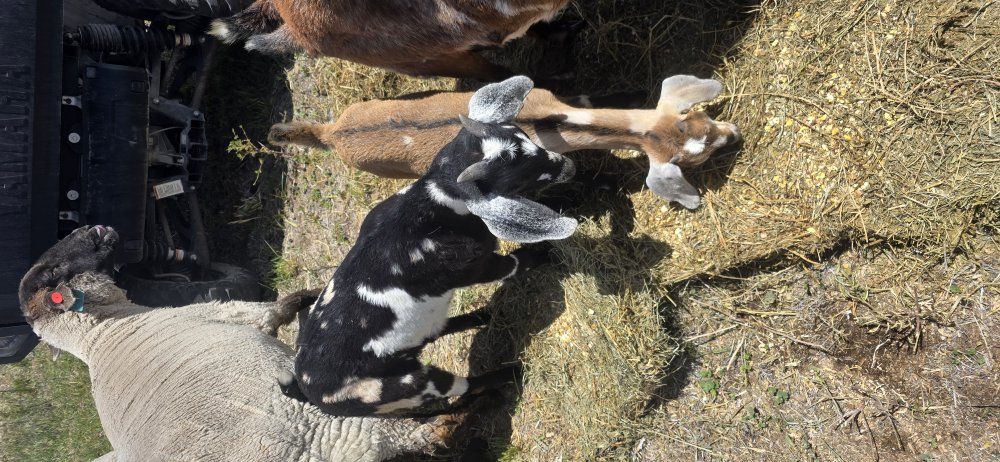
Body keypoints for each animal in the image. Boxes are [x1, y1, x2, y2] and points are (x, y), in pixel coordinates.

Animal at [281, 76, 578, 417]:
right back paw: (510, 373)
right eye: (520, 177)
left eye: (528, 139)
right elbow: (512, 265)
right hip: (405, 387)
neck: (432, 204)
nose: (569, 167)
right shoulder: (473, 265)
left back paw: (483, 317)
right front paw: (542, 253)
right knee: (457, 386)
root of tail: (307, 392)